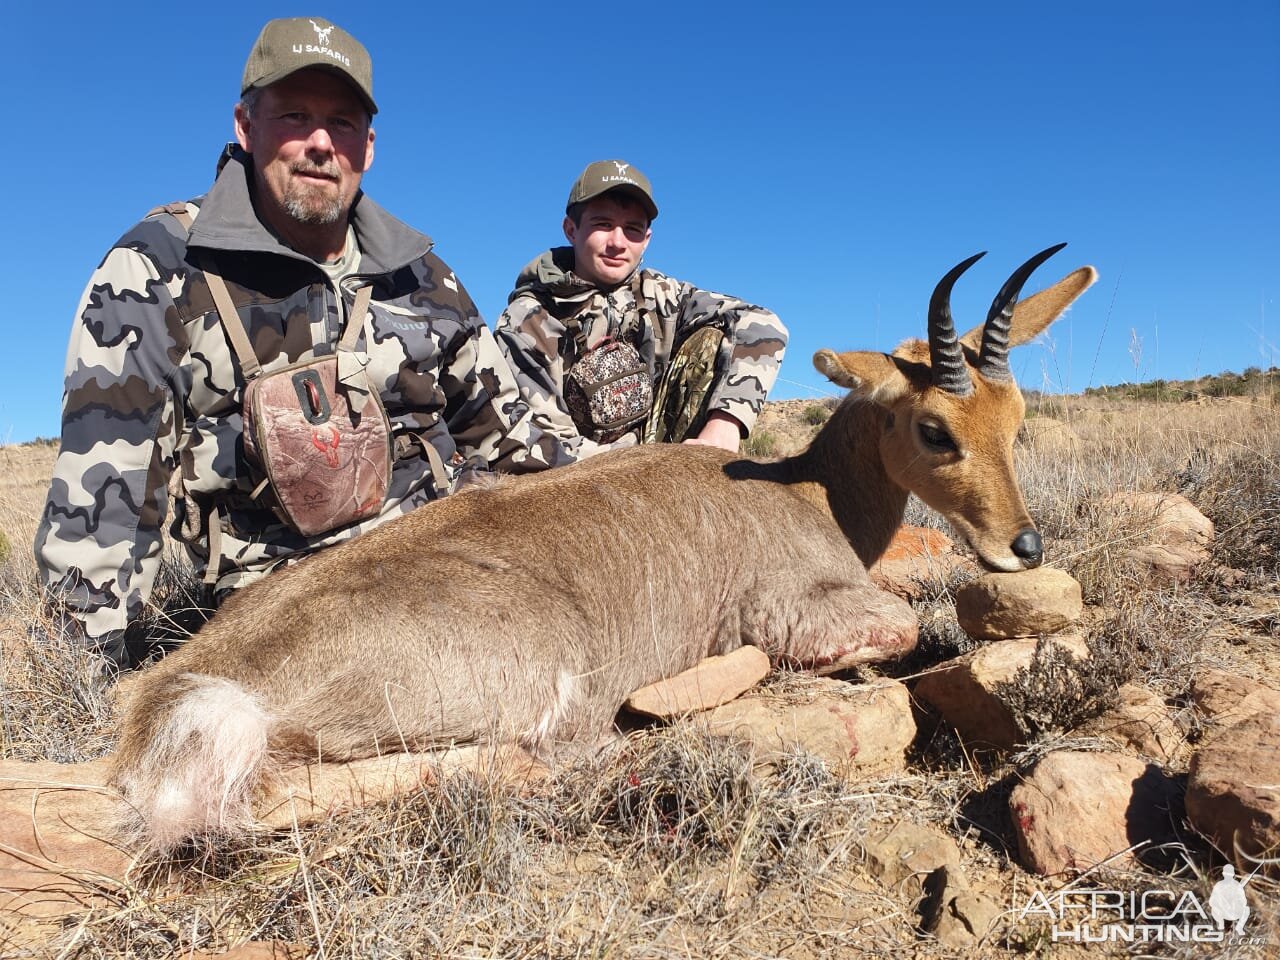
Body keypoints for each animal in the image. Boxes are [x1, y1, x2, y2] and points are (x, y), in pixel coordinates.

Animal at [110, 244, 1095, 855]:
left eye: (1014, 418)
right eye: (934, 428)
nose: (1022, 545)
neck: (804, 488)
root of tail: (182, 693)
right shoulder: (788, 610)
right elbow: (895, 625)